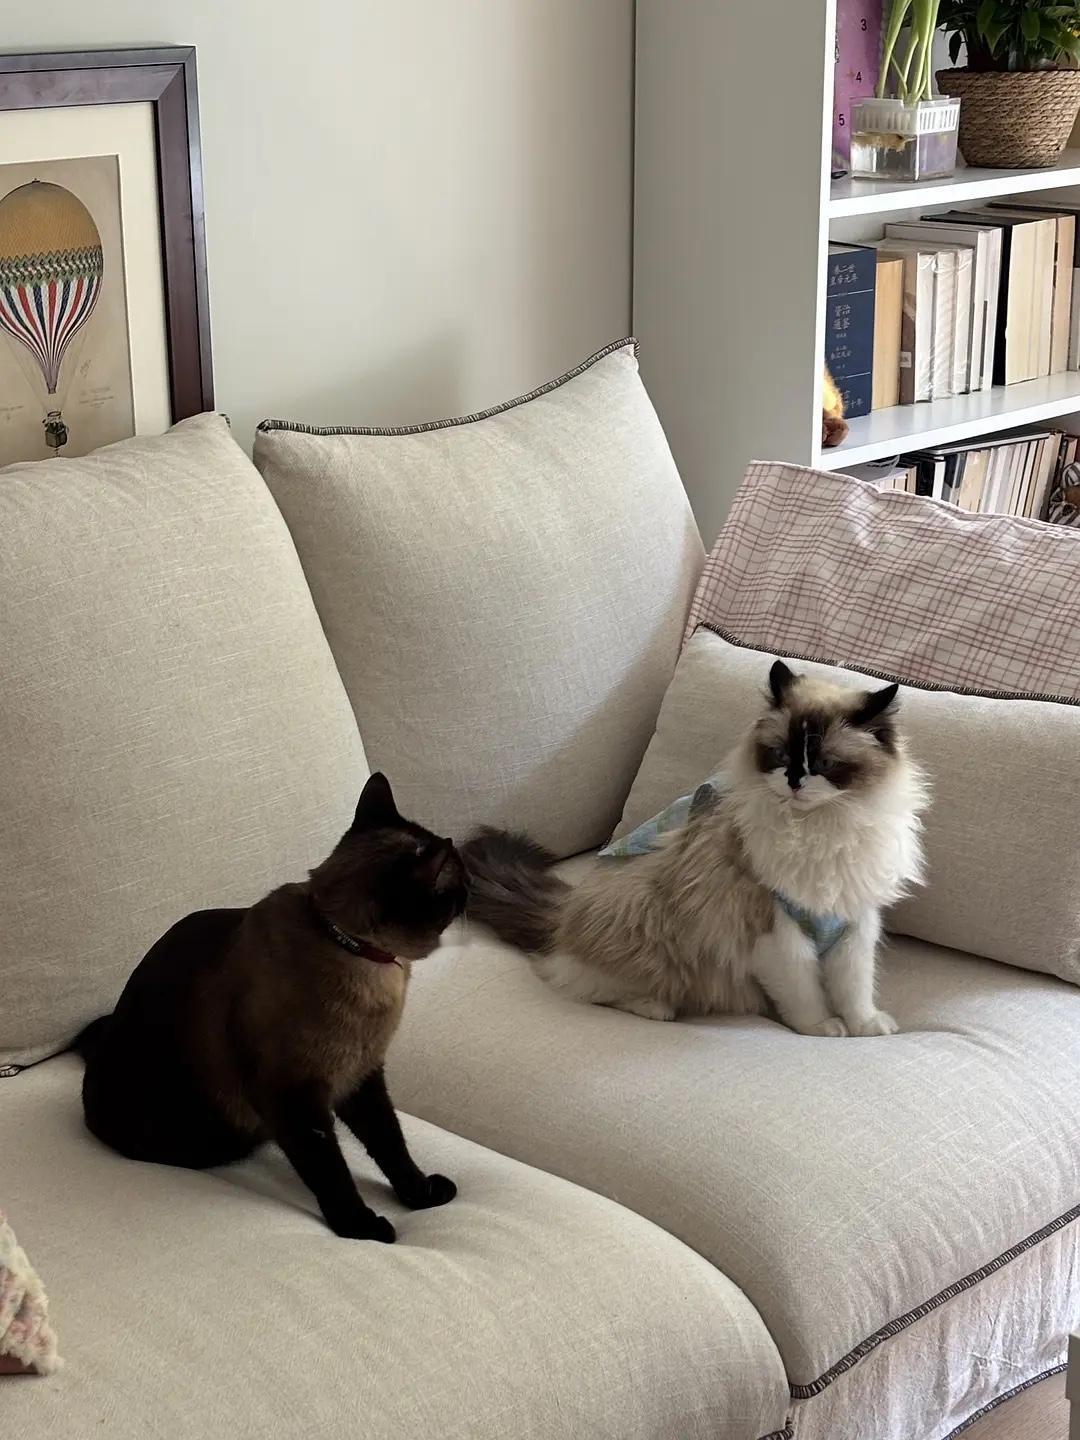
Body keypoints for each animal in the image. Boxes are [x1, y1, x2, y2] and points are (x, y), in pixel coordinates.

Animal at [76, 772, 467, 1242]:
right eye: (459, 886)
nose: (472, 889)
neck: (350, 947)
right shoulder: (295, 1098)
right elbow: (332, 1172)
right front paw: (363, 1228)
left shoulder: (361, 1077)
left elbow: (391, 1146)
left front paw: (421, 1195)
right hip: (210, 1135)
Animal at [461, 660, 928, 1036]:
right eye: (780, 756)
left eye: (825, 764)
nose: (795, 783)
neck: (817, 830)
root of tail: (562, 914)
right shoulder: (777, 935)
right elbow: (805, 993)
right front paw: (822, 1028)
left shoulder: (854, 926)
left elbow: (855, 988)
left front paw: (866, 1026)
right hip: (645, 919)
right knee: (587, 985)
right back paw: (656, 1007)